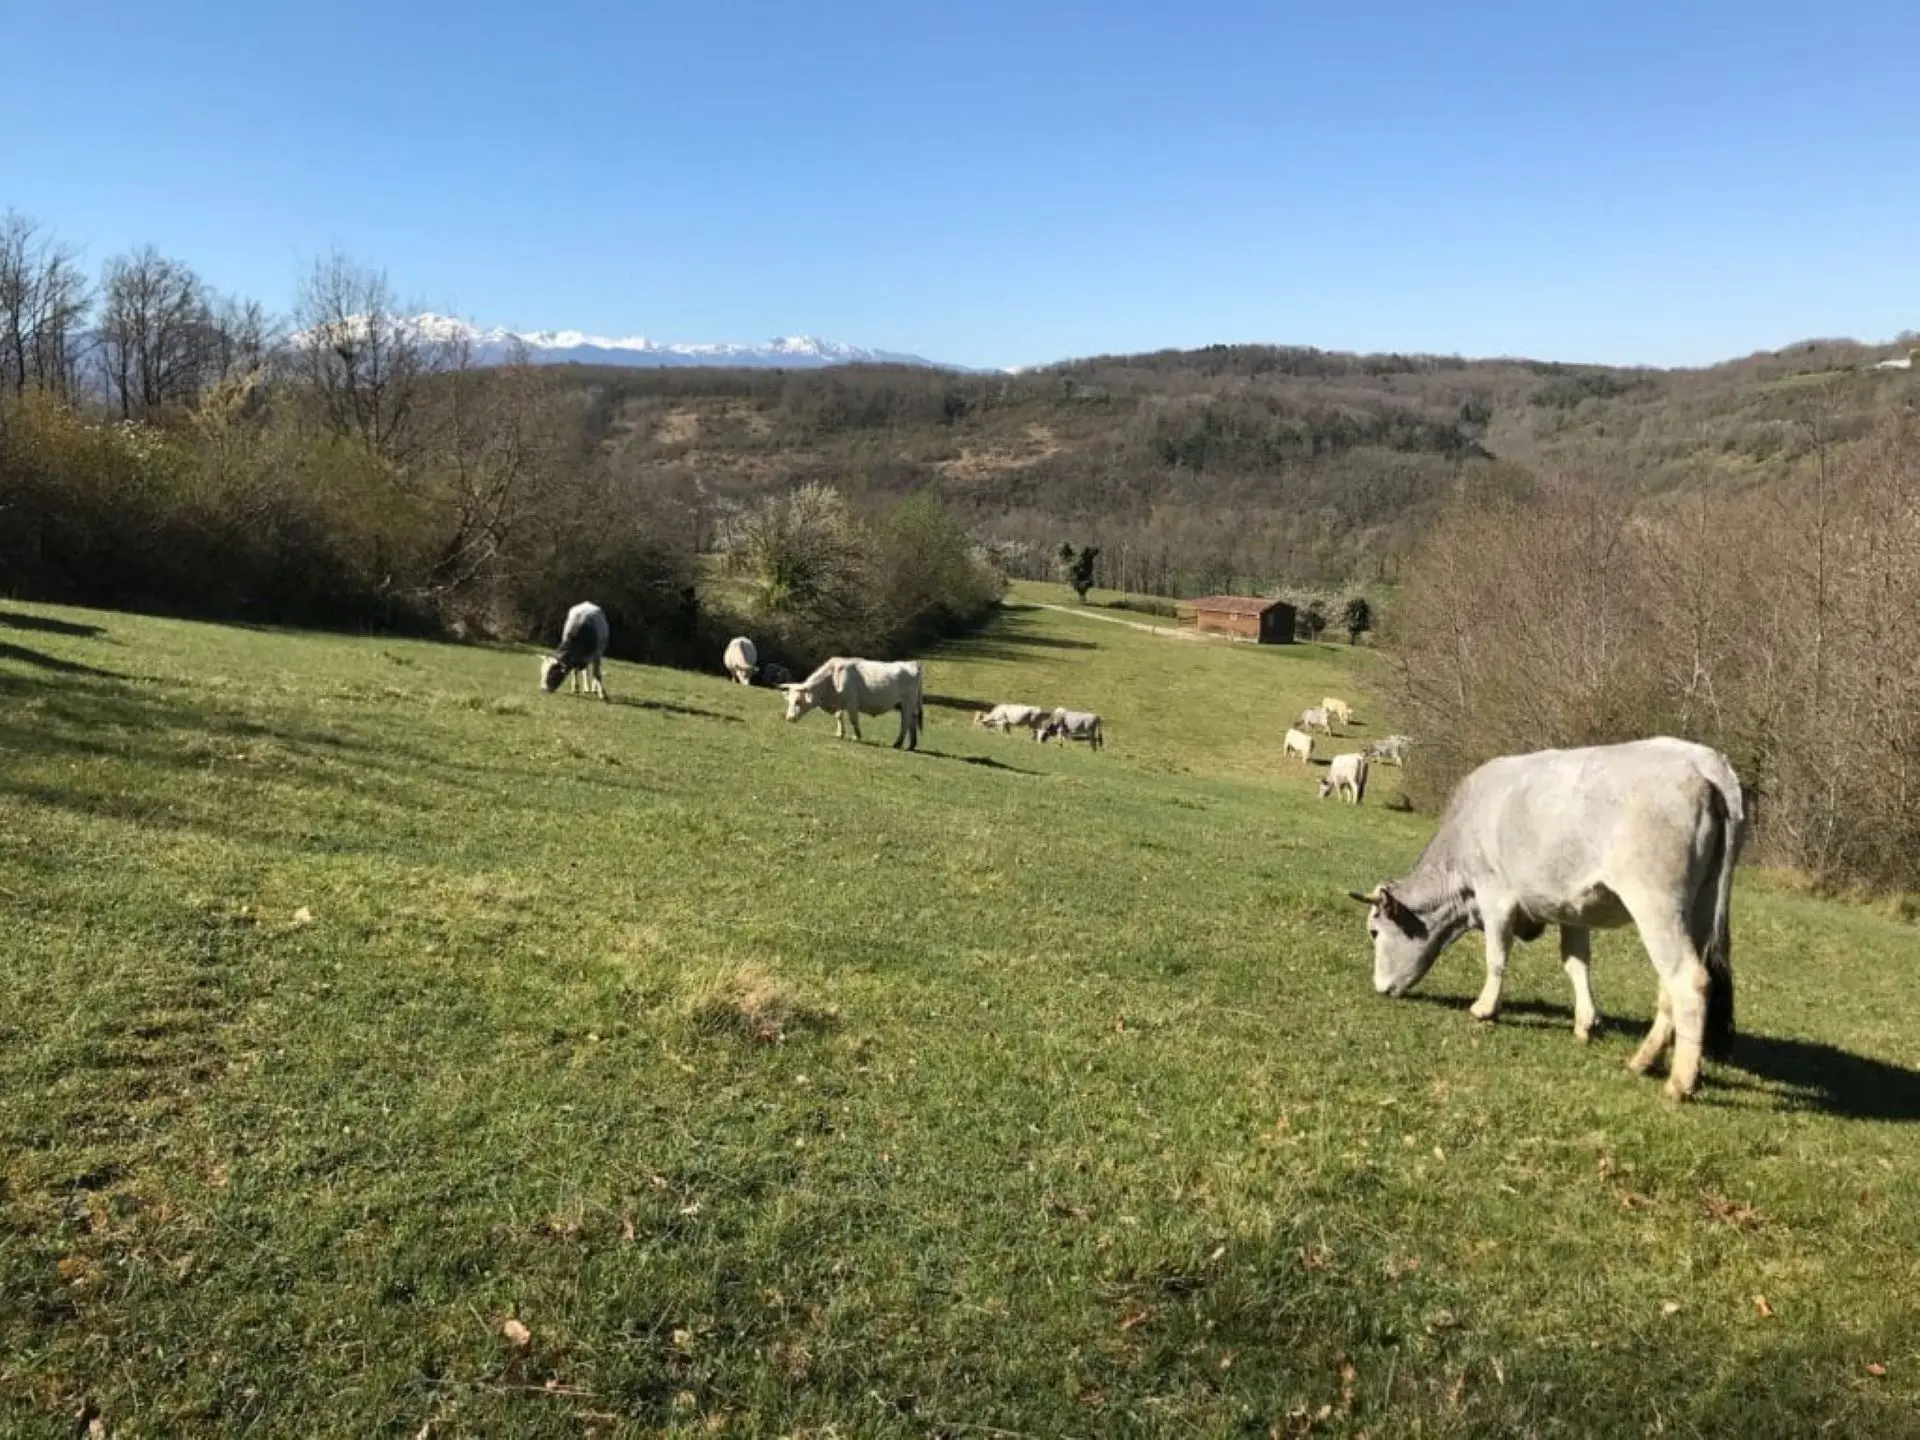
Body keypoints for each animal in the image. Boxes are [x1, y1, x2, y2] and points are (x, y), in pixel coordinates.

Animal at [783, 660, 925, 756]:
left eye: (797, 701)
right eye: (788, 701)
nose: (789, 718)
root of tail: (912, 663)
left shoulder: (851, 703)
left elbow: (854, 720)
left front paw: (857, 736)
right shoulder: (840, 703)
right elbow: (839, 717)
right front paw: (840, 733)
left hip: (907, 704)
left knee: (905, 723)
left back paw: (898, 744)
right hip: (908, 706)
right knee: (912, 723)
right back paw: (911, 745)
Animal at [1351, 744, 1758, 1105]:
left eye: (1374, 932)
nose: (1379, 987)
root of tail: (1708, 762)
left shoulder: (1495, 894)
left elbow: (1496, 956)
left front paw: (1485, 1008)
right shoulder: (1572, 910)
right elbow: (1576, 964)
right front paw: (1586, 1023)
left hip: (1655, 901)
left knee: (1688, 980)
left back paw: (1679, 1082)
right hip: (1698, 908)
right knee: (1669, 984)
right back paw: (1643, 1060)